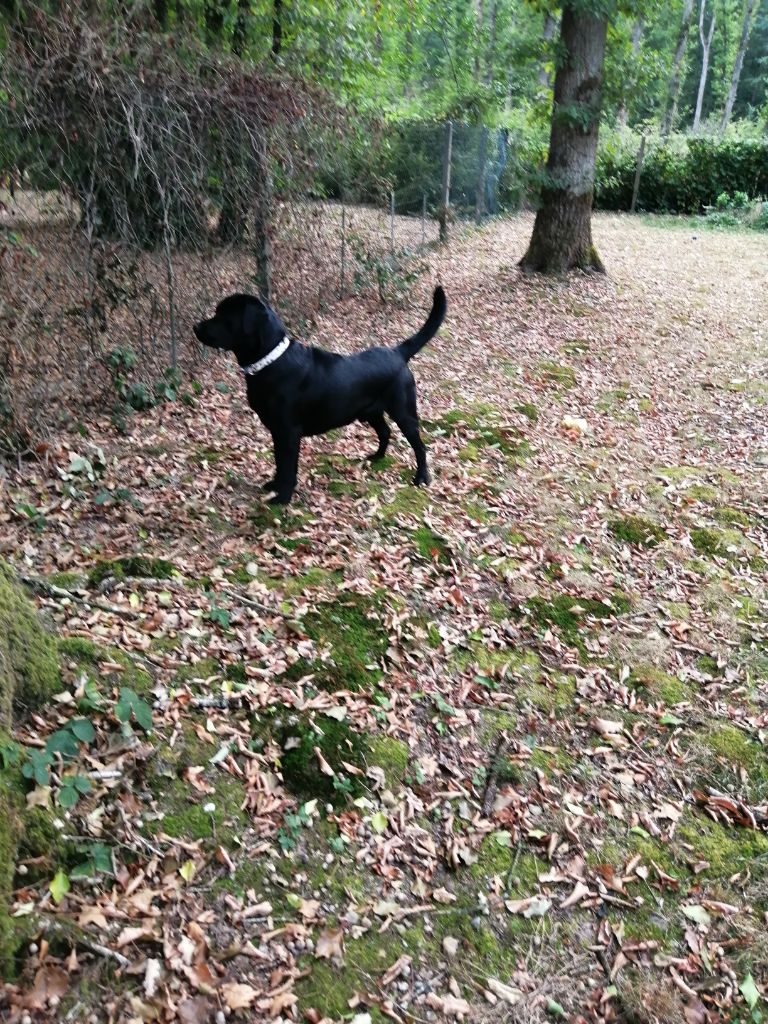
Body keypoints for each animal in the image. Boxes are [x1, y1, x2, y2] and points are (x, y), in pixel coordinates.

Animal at [192, 286, 448, 501]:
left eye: (224, 316)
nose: (196, 327)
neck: (270, 362)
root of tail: (396, 352)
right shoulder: (276, 430)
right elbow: (279, 462)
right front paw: (275, 485)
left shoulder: (288, 431)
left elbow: (288, 466)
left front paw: (282, 497)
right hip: (370, 412)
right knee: (385, 432)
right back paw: (376, 457)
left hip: (404, 412)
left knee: (419, 445)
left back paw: (421, 478)